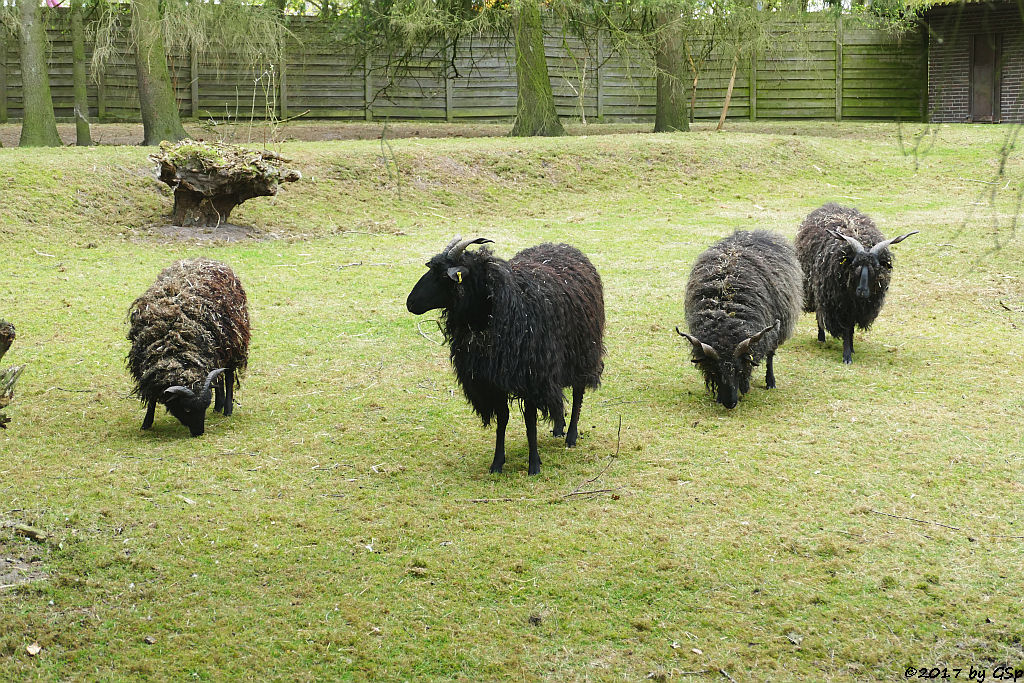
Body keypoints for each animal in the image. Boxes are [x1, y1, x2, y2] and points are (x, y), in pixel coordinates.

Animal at [126, 259, 250, 436]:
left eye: (203, 406)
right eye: (186, 409)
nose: (199, 433)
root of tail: (210, 260)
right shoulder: (149, 370)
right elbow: (151, 397)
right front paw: (147, 423)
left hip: (233, 345)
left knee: (229, 377)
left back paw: (227, 409)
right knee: (219, 379)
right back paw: (218, 406)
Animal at [405, 235, 602, 475]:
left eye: (444, 276)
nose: (410, 303)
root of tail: (562, 246)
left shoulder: (530, 376)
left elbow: (529, 421)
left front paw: (534, 464)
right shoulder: (491, 381)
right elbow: (502, 418)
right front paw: (497, 462)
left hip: (583, 351)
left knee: (578, 391)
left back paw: (571, 435)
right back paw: (558, 427)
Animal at [675, 229, 802, 411]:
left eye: (738, 370)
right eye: (716, 371)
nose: (730, 404)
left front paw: (746, 386)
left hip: (778, 327)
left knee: (770, 354)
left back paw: (770, 381)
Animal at [790, 202, 921, 362]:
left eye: (876, 267)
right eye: (853, 265)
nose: (862, 291)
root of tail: (832, 205)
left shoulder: (858, 309)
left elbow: (851, 329)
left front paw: (851, 349)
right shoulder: (842, 306)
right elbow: (846, 329)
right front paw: (847, 356)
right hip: (816, 291)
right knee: (820, 315)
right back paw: (821, 338)